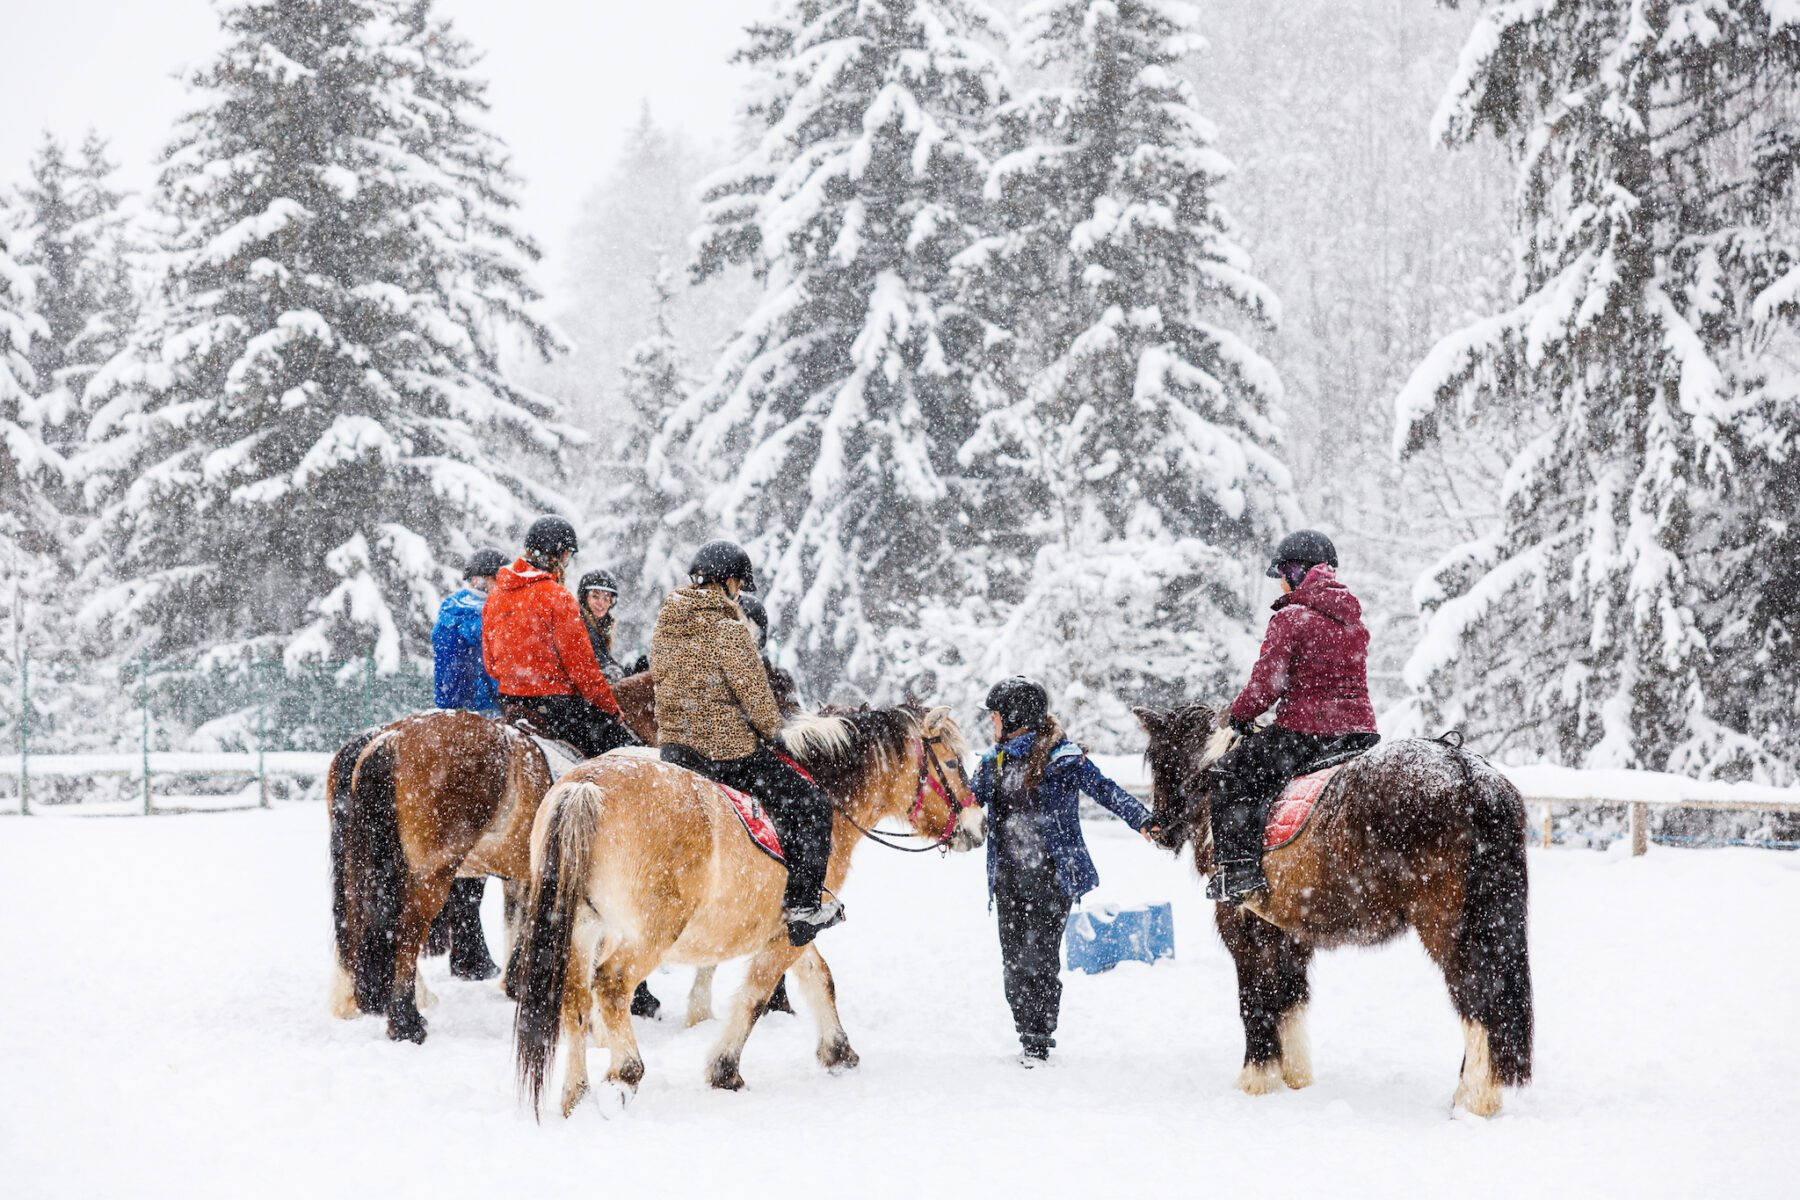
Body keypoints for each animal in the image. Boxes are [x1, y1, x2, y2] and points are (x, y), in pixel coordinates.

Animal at [507, 705, 986, 1115]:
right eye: (954, 764)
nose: (978, 825)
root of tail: (585, 786)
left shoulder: (793, 926)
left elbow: (820, 978)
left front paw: (838, 1051)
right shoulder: (793, 928)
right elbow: (757, 995)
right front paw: (726, 1070)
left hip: (580, 929)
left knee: (575, 999)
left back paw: (576, 1096)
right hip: (647, 936)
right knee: (611, 986)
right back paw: (624, 1076)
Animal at [1137, 705, 1533, 1115]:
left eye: (1161, 762)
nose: (1158, 831)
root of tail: (1469, 772)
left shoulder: (1244, 929)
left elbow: (1255, 1000)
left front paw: (1255, 1080)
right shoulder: (1286, 932)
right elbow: (1289, 998)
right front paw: (1294, 1076)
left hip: (1449, 929)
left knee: (1479, 999)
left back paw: (1474, 1098)